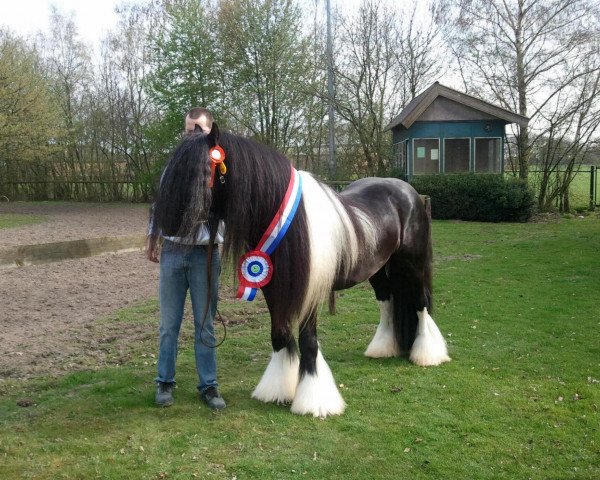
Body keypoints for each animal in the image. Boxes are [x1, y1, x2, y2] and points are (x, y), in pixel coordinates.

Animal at [151, 123, 450, 416]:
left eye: (202, 169)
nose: (166, 224)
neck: (289, 223)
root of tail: (408, 192)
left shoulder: (310, 291)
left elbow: (308, 341)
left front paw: (314, 401)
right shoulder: (273, 288)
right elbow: (280, 335)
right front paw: (278, 389)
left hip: (412, 264)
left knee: (421, 303)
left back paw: (427, 354)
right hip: (378, 269)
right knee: (387, 301)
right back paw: (383, 348)